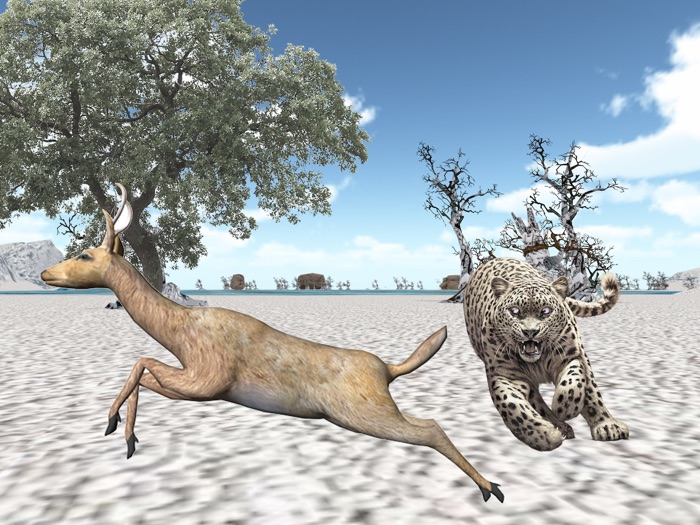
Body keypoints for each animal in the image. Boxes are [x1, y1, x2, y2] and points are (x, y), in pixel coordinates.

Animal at [463, 257, 629, 451]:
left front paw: (566, 408)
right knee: (537, 402)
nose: (530, 332)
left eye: (546, 311)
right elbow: (513, 406)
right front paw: (544, 436)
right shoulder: (506, 375)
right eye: (514, 311)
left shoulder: (573, 356)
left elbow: (578, 383)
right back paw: (560, 428)